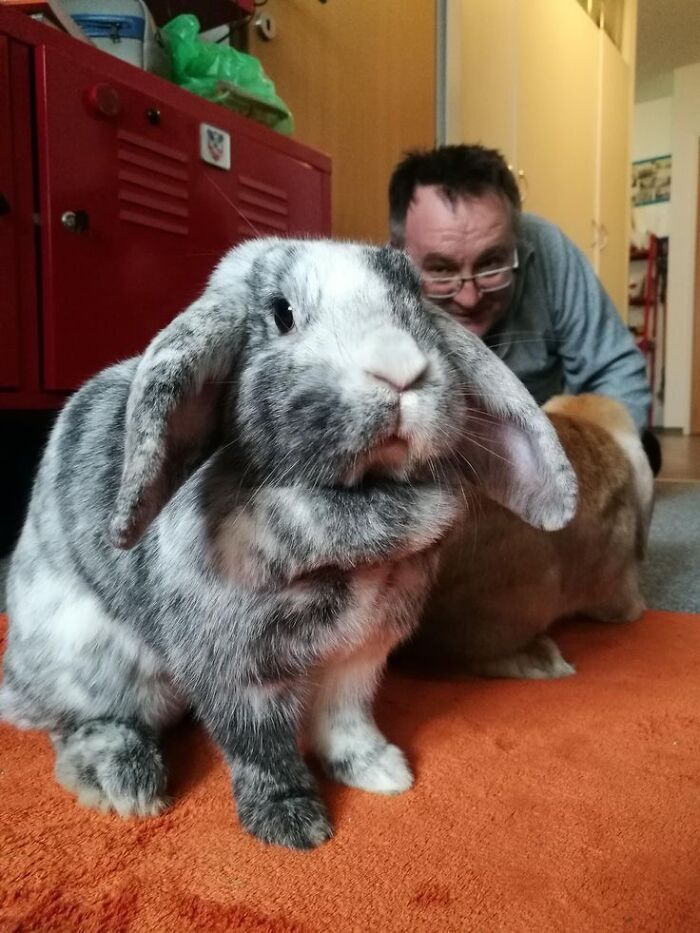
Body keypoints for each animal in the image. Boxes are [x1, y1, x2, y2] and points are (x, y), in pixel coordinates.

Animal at [0, 237, 577, 849]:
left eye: (416, 303)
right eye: (282, 314)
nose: (401, 369)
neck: (359, 499)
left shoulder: (360, 655)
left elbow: (347, 721)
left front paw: (381, 770)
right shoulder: (237, 665)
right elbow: (262, 747)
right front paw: (293, 824)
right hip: (92, 659)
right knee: (76, 722)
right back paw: (123, 784)